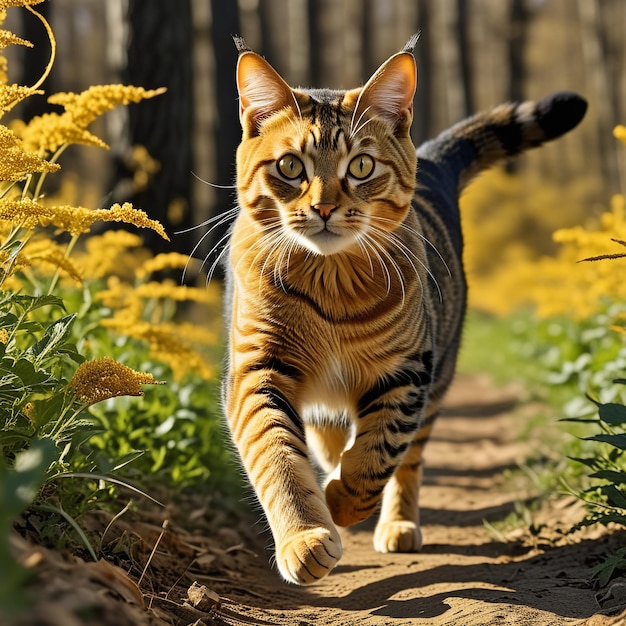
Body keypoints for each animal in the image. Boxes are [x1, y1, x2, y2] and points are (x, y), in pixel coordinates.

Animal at [222, 31, 588, 584]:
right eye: (290, 166)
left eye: (361, 166)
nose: (324, 207)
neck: (330, 285)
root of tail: (433, 159)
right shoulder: (257, 369)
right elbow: (277, 455)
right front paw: (305, 534)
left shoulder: (407, 372)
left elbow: (377, 457)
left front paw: (341, 501)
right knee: (329, 437)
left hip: (439, 373)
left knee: (406, 458)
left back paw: (393, 520)